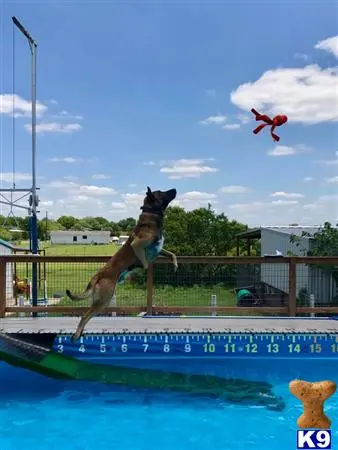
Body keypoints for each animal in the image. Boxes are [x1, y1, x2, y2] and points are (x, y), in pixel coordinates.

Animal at [65, 187, 177, 342]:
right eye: (161, 192)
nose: (175, 189)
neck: (151, 216)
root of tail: (98, 275)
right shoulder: (137, 244)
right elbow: (144, 261)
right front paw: (144, 267)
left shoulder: (159, 249)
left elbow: (172, 254)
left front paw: (175, 264)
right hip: (104, 299)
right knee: (84, 316)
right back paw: (76, 335)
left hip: (101, 300)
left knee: (88, 315)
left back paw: (80, 333)